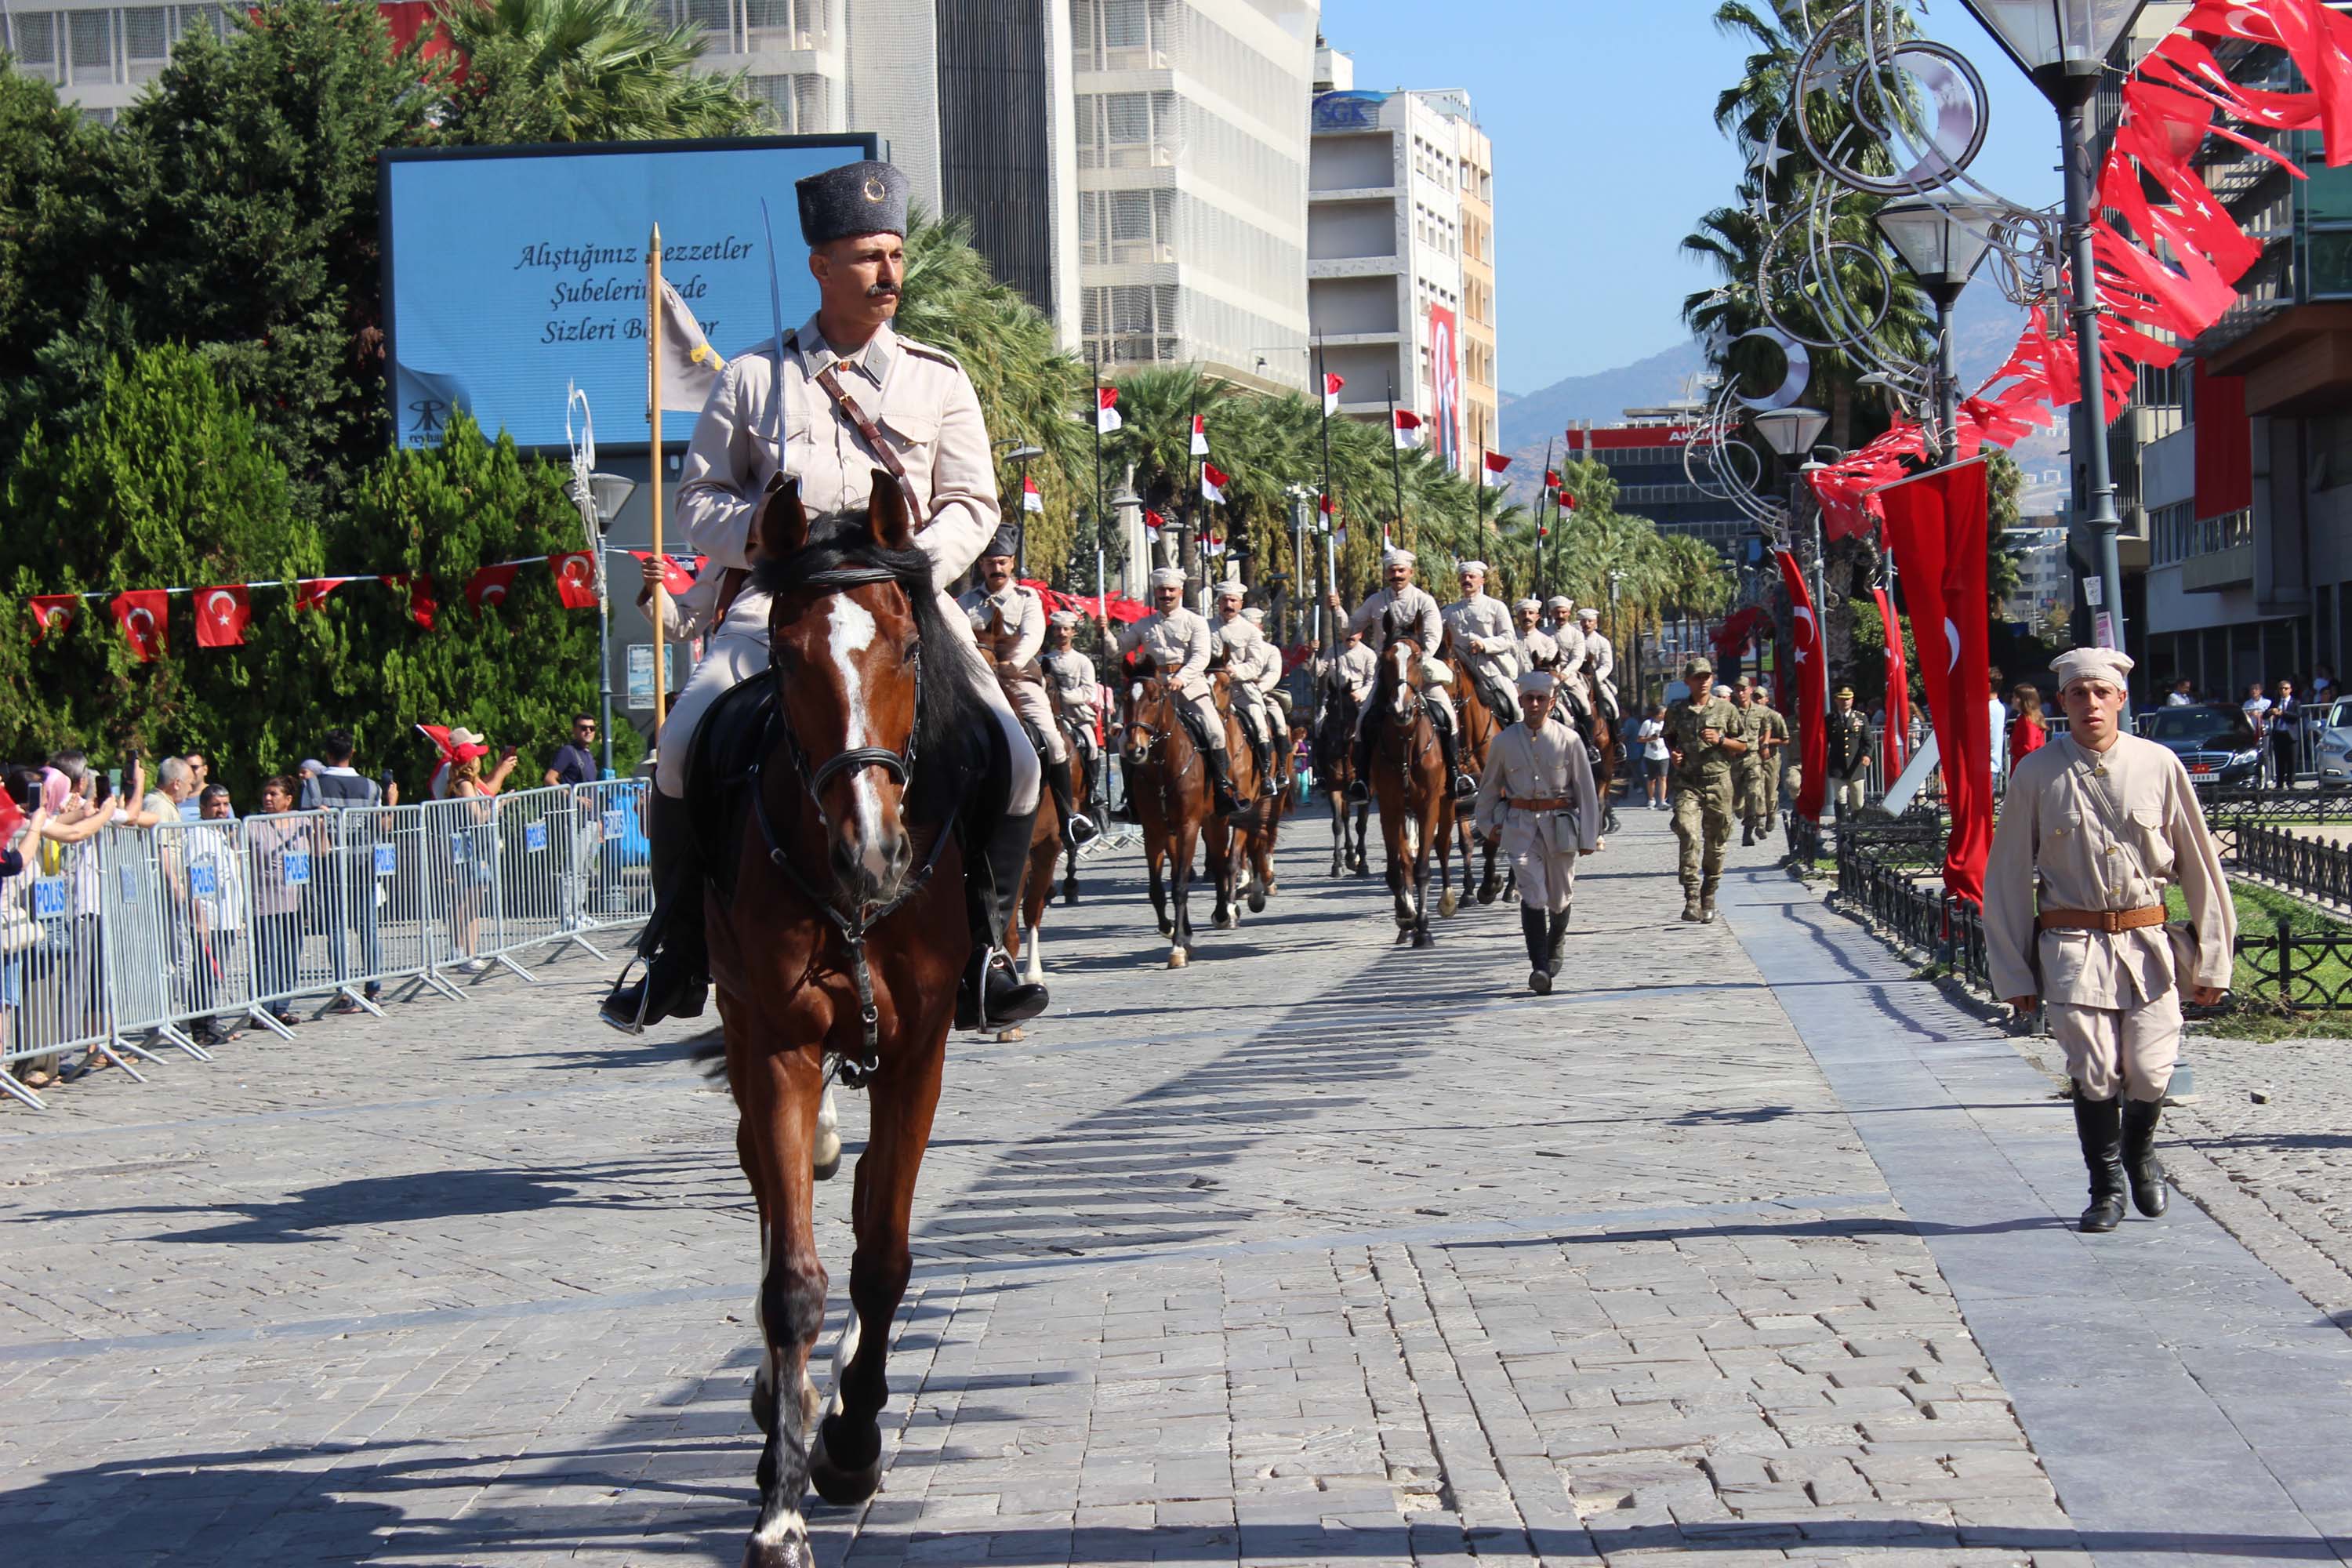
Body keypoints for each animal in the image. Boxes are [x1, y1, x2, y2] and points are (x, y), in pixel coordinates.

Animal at [696, 470, 993, 1568]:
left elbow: (886, 1256)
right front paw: (780, 1506)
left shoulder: (919, 1051)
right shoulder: (777, 1046)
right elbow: (794, 1278)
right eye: (786, 655)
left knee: (867, 1200)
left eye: (906, 645)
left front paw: (854, 1442)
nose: (874, 849)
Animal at [1124, 653, 1223, 968]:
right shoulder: (1153, 831)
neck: (1162, 768)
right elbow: (1158, 888)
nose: (1135, 750)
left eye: (1155, 698)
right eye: (1124, 698)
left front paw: (1178, 948)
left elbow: (1179, 886)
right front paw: (1171, 930)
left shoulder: (1189, 826)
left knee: (1222, 859)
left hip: (1215, 821)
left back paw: (1223, 913)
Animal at [1364, 634, 1449, 945]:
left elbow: (1423, 868)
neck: (1404, 742)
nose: (1401, 709)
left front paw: (1423, 928)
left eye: (1418, 658)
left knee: (1443, 847)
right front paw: (1405, 915)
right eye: (1385, 659)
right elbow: (1397, 869)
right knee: (1406, 861)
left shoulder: (1429, 807)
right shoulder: (1390, 809)